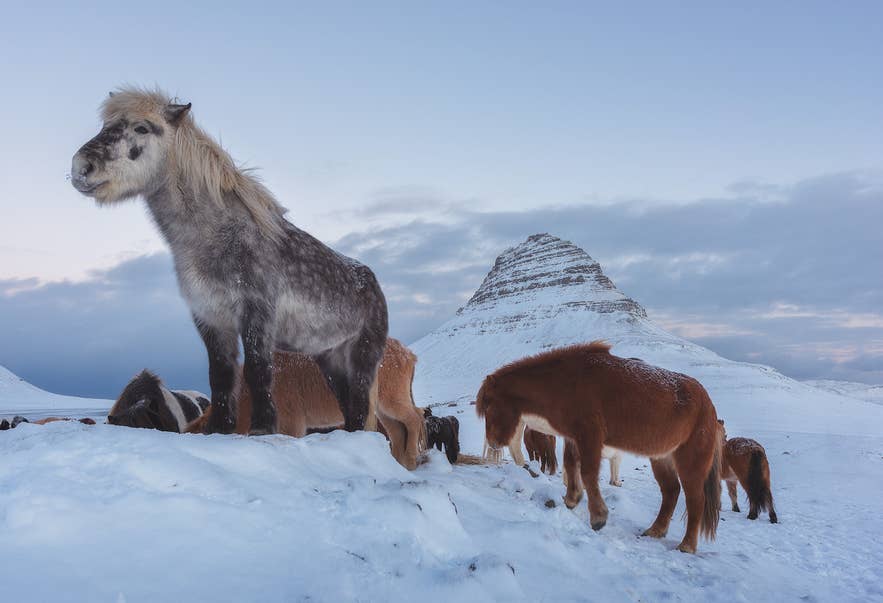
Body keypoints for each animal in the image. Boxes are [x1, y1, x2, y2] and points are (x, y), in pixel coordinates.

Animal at [71, 87, 388, 436]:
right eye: (105, 125)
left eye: (141, 128)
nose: (81, 168)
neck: (218, 239)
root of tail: (371, 281)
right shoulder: (210, 317)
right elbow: (221, 375)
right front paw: (220, 428)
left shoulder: (257, 314)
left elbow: (257, 370)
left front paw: (263, 427)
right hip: (329, 358)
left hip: (361, 356)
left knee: (360, 403)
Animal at [187, 338, 426, 470]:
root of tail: (407, 352)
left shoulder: (291, 424)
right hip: (383, 409)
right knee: (398, 430)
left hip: (392, 400)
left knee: (415, 417)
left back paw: (410, 458)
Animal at [476, 341, 722, 554]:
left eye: (488, 405)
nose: (493, 442)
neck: (565, 383)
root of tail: (709, 405)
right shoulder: (574, 437)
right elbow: (571, 465)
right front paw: (572, 499)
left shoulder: (590, 435)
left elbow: (587, 472)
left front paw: (598, 517)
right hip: (662, 457)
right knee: (671, 491)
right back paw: (655, 530)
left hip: (690, 461)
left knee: (695, 500)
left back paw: (687, 545)